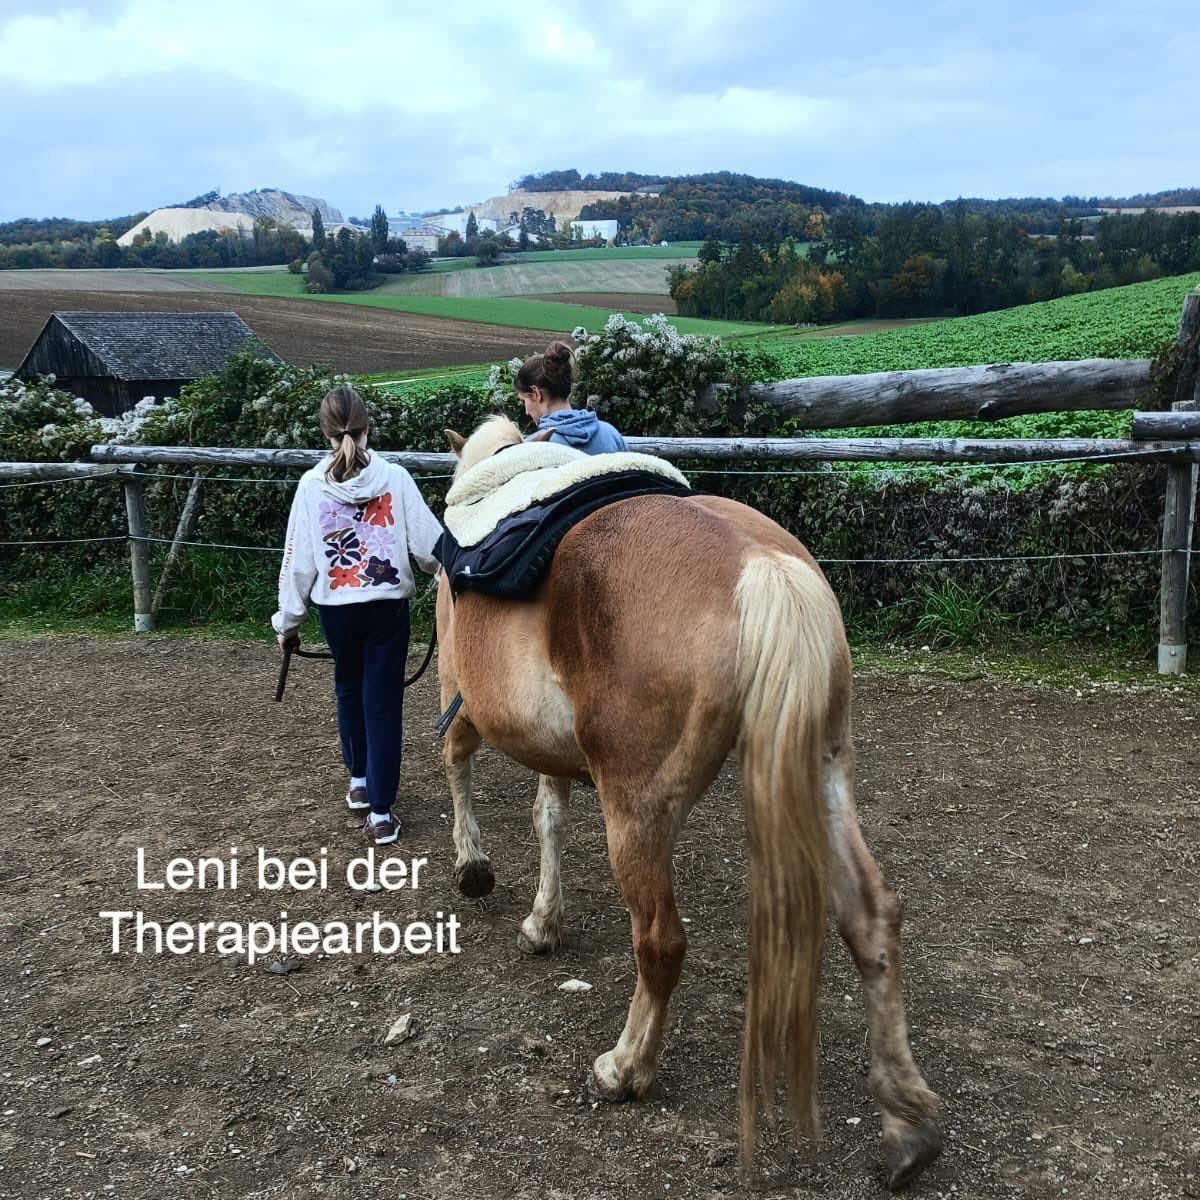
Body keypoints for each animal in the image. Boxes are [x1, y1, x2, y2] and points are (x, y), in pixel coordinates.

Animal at [434, 416, 943, 1189]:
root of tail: (762, 567)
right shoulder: (552, 748)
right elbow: (549, 818)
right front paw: (544, 921)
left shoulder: (461, 696)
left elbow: (460, 765)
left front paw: (475, 867)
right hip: (822, 773)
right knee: (872, 916)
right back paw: (907, 1123)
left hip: (636, 810)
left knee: (661, 942)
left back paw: (625, 1069)